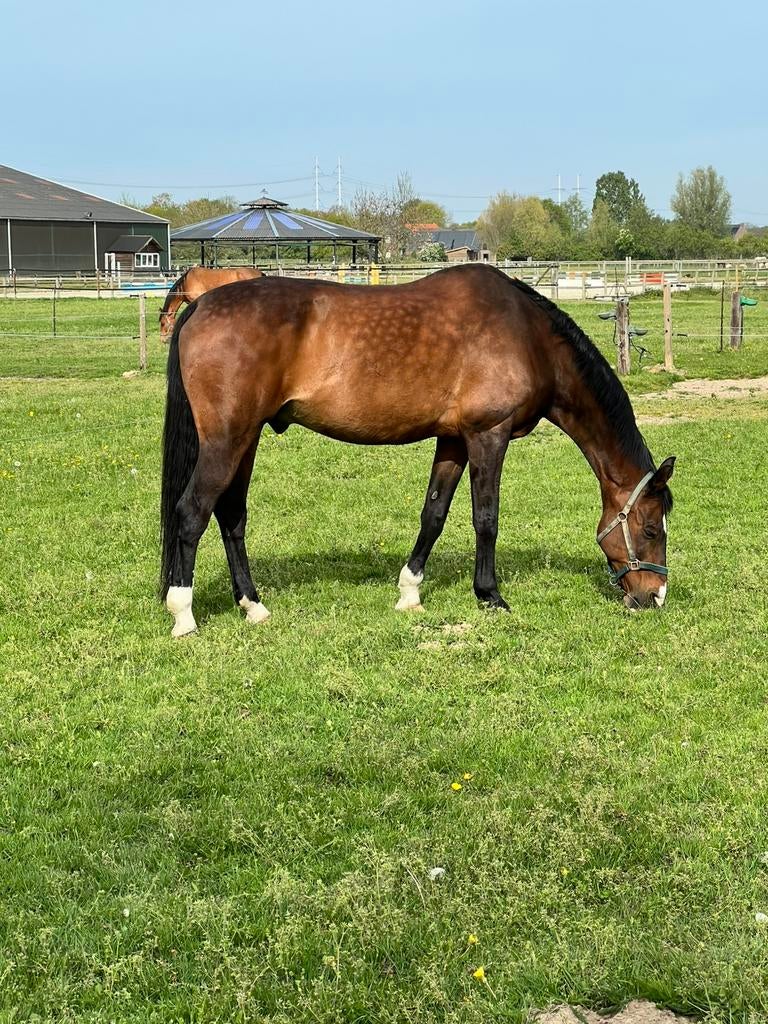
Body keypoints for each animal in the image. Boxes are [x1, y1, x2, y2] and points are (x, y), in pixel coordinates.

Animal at [159, 264, 674, 637]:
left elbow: (435, 513)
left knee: (231, 516)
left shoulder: (453, 440)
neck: (528, 337)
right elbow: (486, 518)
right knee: (191, 513)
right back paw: (183, 614)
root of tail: (200, 305)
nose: (655, 597)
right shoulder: (488, 435)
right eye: (650, 528)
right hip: (226, 440)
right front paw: (490, 596)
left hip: (246, 439)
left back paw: (253, 606)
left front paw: (409, 592)